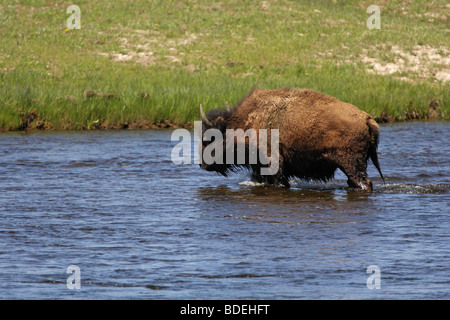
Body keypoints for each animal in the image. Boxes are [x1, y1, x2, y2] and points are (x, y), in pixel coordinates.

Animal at [199, 87, 384, 191]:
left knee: (363, 182)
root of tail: (367, 119)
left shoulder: (273, 162)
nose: (202, 164)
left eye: (209, 139)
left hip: (351, 163)